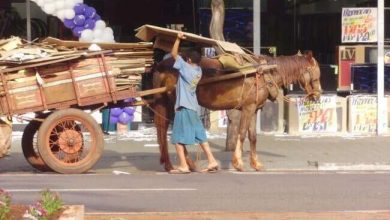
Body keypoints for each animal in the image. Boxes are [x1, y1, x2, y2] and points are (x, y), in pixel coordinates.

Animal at [151, 52, 322, 172]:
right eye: (316, 73)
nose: (318, 95)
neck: (263, 73)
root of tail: (161, 65)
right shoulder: (248, 108)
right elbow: (242, 134)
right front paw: (238, 162)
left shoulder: (254, 109)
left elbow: (253, 137)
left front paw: (256, 163)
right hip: (173, 105)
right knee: (168, 131)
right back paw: (187, 164)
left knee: (162, 130)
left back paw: (171, 164)